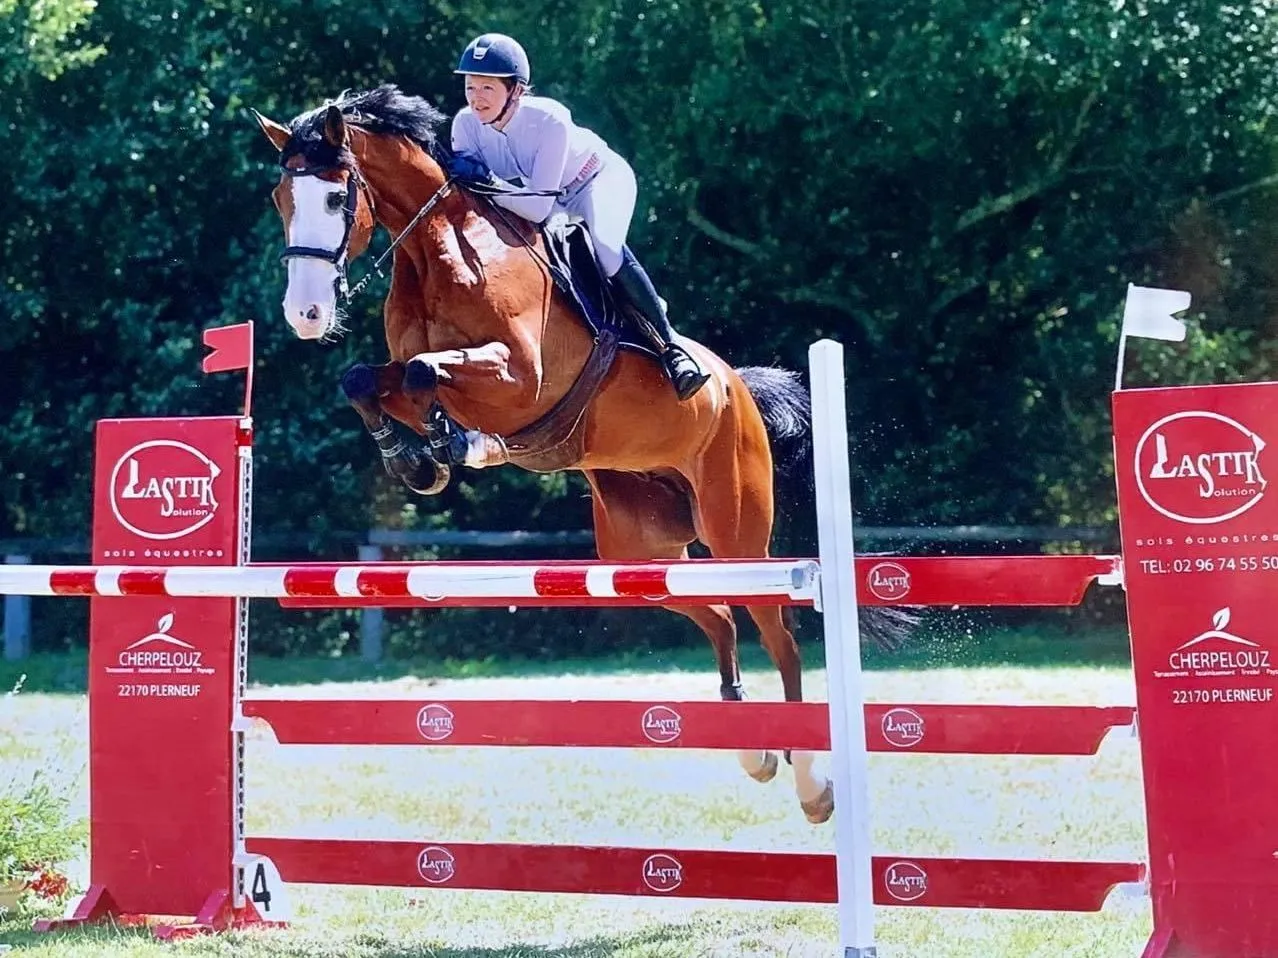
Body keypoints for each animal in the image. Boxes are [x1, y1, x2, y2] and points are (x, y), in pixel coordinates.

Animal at [249, 86, 909, 827]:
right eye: (280, 195)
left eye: (337, 197)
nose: (304, 314)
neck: (440, 254)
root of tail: (737, 384)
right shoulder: (413, 373)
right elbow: (368, 378)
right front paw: (419, 459)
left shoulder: (521, 378)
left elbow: (424, 373)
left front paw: (460, 444)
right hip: (639, 549)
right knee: (716, 615)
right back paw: (752, 748)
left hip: (735, 529)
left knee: (779, 632)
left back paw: (810, 782)